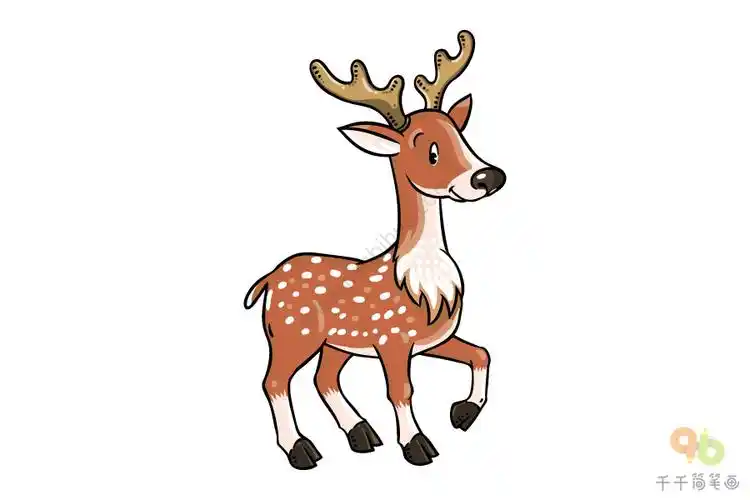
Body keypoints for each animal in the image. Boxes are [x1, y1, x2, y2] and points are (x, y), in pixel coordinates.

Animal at [244, 30, 506, 469]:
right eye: (430, 151)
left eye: (462, 136)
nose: (490, 177)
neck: (418, 283)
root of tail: (268, 279)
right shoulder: (392, 339)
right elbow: (401, 391)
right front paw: (417, 445)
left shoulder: (432, 339)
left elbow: (482, 353)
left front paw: (462, 413)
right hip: (291, 331)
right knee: (274, 381)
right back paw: (301, 450)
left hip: (334, 343)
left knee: (323, 378)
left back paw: (361, 434)